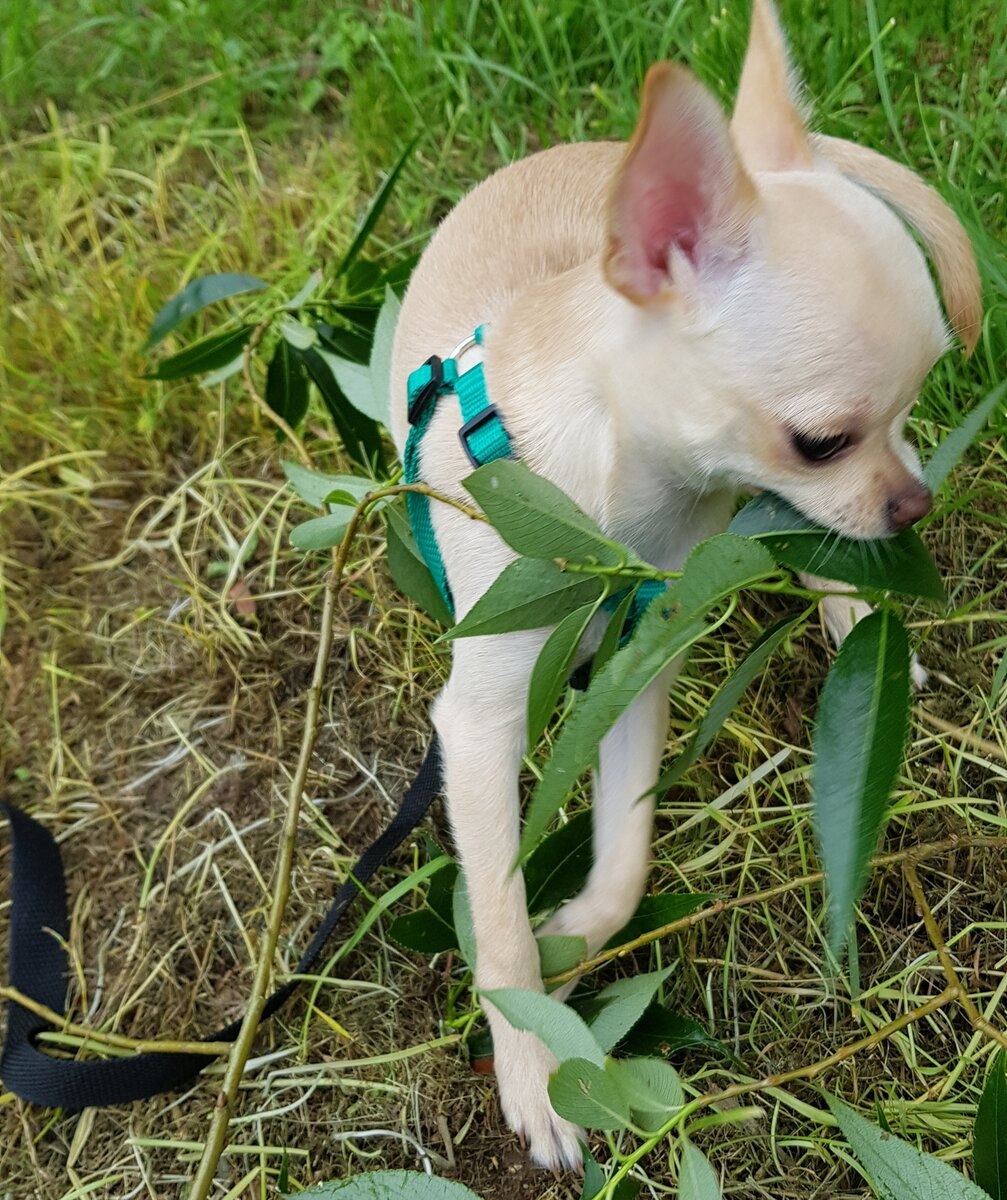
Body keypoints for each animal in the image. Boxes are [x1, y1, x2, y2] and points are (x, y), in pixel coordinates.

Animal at [384, 0, 974, 1166]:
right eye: (820, 439)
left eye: (918, 399)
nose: (913, 504)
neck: (620, 506)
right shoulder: (478, 724)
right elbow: (500, 922)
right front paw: (535, 1060)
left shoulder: (633, 666)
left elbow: (621, 867)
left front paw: (572, 945)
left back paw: (854, 611)